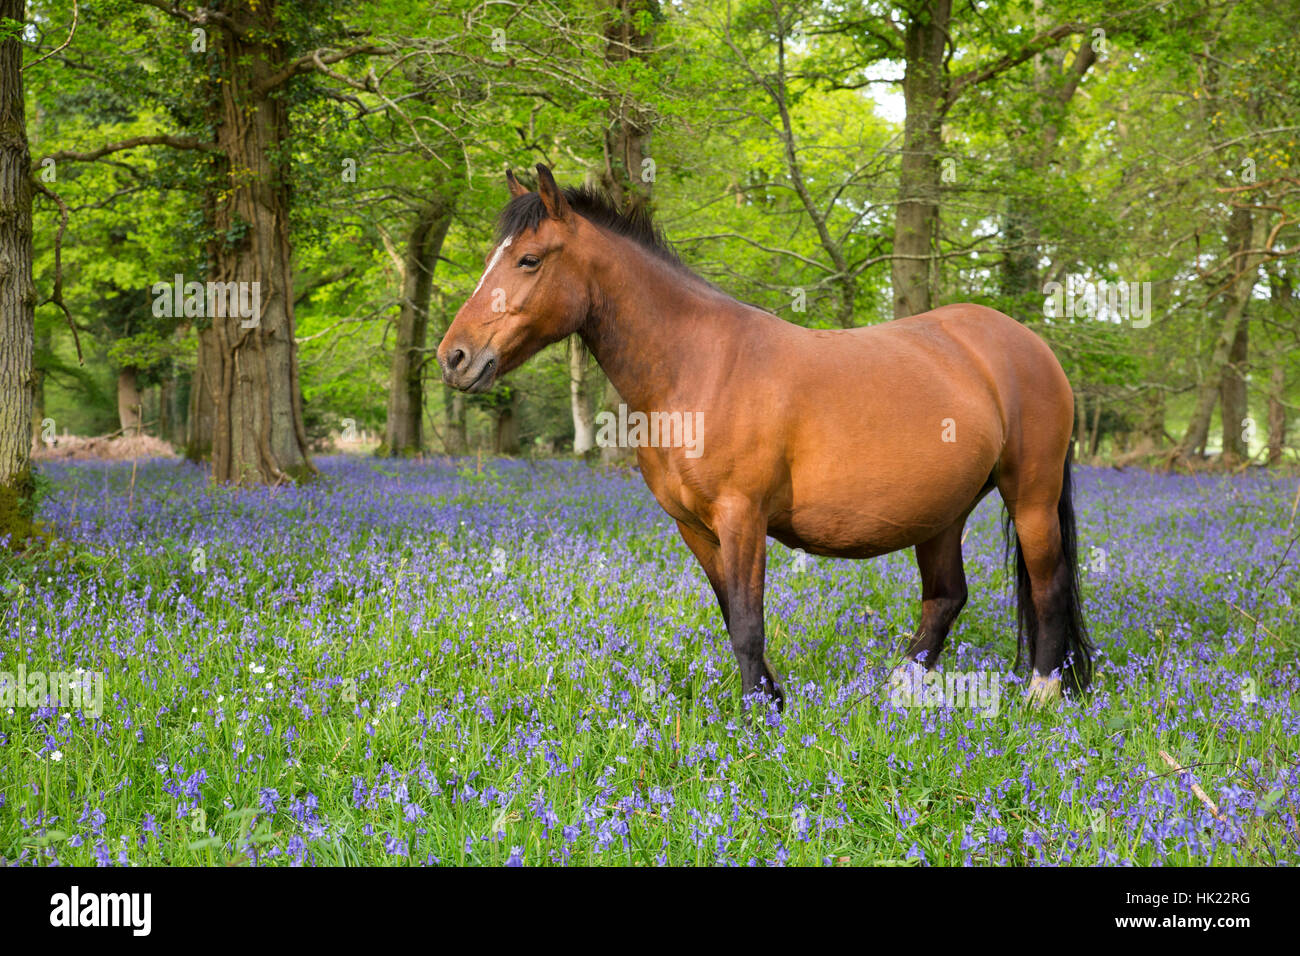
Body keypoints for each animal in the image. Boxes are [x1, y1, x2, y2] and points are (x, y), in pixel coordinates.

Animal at [436, 164, 1092, 709]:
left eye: (528, 260)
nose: (454, 357)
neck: (698, 365)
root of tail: (1029, 345)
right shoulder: (696, 527)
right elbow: (733, 616)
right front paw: (772, 701)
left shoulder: (742, 516)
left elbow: (749, 625)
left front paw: (757, 722)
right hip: (941, 513)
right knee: (947, 597)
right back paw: (897, 692)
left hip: (1030, 498)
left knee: (1048, 586)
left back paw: (1041, 696)